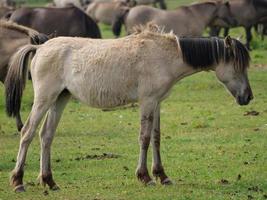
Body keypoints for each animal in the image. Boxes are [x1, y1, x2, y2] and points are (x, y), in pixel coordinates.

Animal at [5, 24, 253, 192]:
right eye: (237, 66)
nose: (248, 97)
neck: (165, 55)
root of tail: (39, 48)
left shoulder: (158, 103)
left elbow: (156, 137)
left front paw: (162, 176)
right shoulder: (147, 101)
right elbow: (144, 137)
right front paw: (145, 177)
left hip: (60, 100)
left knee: (46, 136)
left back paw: (49, 181)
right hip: (44, 99)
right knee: (27, 133)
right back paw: (18, 181)